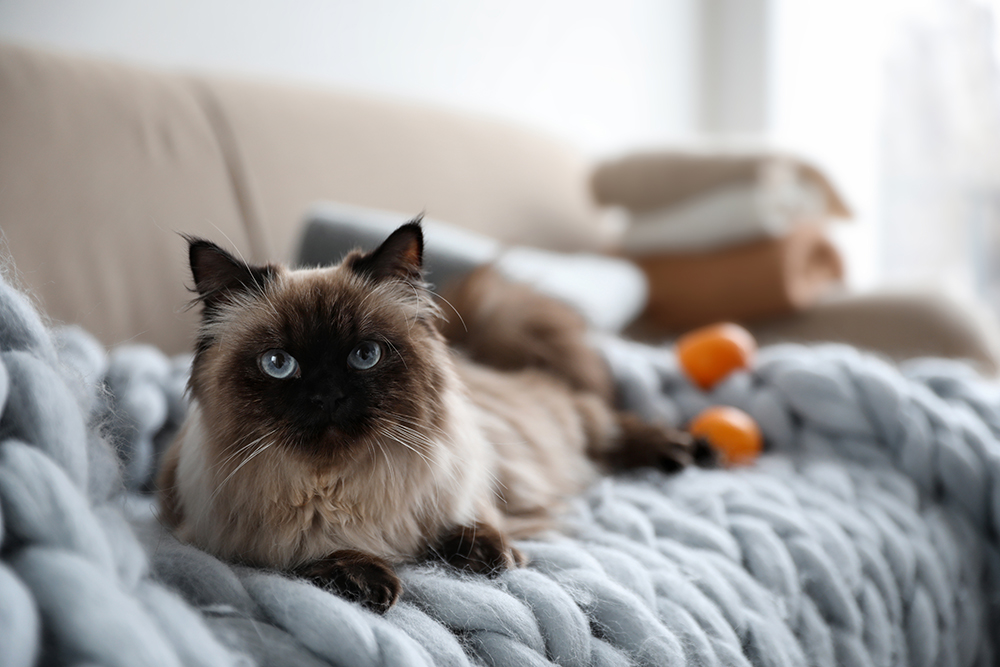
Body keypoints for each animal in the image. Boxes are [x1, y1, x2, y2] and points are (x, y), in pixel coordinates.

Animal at [156, 219, 708, 612]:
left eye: (365, 355)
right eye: (279, 364)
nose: (327, 397)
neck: (342, 487)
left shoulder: (471, 490)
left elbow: (475, 526)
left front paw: (489, 558)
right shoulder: (237, 544)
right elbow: (309, 555)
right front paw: (371, 583)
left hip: (564, 425)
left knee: (605, 423)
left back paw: (685, 450)